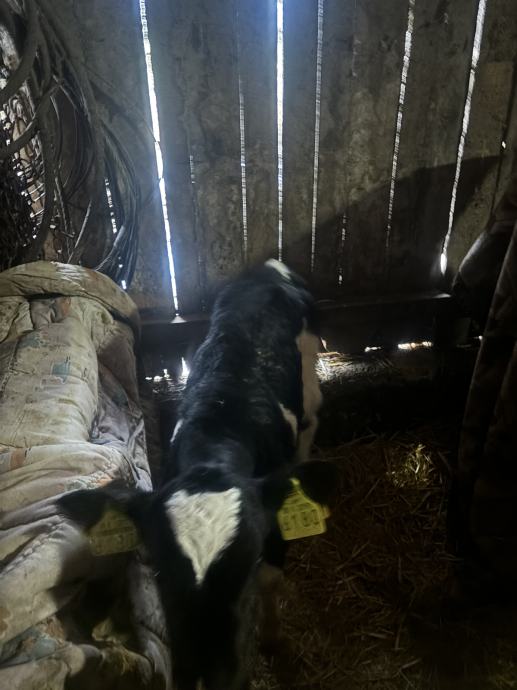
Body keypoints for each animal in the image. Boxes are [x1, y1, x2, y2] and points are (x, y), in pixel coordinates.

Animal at [58, 259, 335, 690]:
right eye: (159, 570)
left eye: (250, 562)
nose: (207, 672)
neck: (219, 425)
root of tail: (268, 268)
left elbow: (271, 582)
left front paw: (274, 641)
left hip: (309, 377)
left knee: (310, 419)